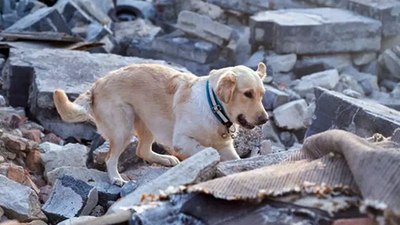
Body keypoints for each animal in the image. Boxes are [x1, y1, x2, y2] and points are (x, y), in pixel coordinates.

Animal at [53, 62, 268, 185]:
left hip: (148, 123)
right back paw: (115, 178)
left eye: (262, 95)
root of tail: (96, 85)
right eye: (247, 94)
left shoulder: (226, 147)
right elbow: (207, 150)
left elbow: (235, 160)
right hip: (123, 128)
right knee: (110, 158)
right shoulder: (182, 141)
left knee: (142, 150)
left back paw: (166, 160)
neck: (212, 105)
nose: (265, 119)